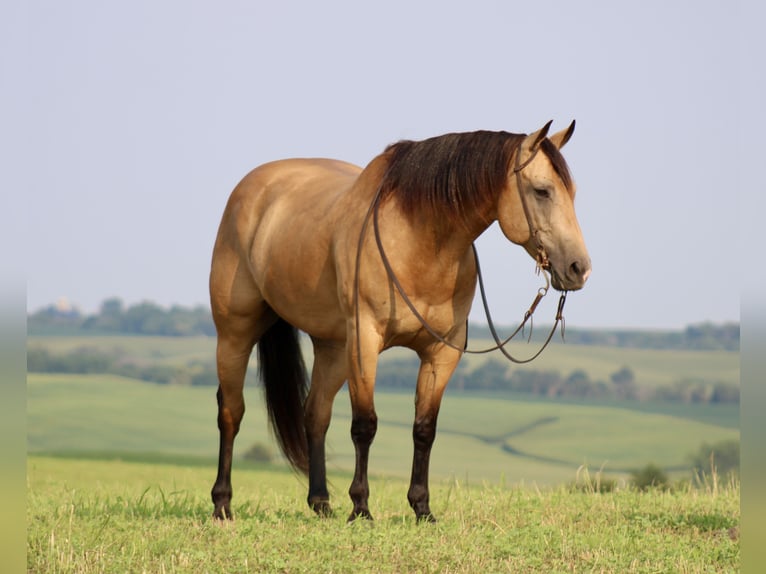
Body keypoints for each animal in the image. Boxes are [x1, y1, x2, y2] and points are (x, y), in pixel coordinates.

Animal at [209, 120, 591, 522]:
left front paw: (422, 508)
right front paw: (361, 507)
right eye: (542, 191)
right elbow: (365, 425)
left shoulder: (441, 352)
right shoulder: (365, 342)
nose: (579, 268)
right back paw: (222, 504)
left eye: (571, 192)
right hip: (235, 333)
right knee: (231, 412)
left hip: (333, 348)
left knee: (315, 414)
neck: (421, 243)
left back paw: (321, 502)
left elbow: (424, 429)